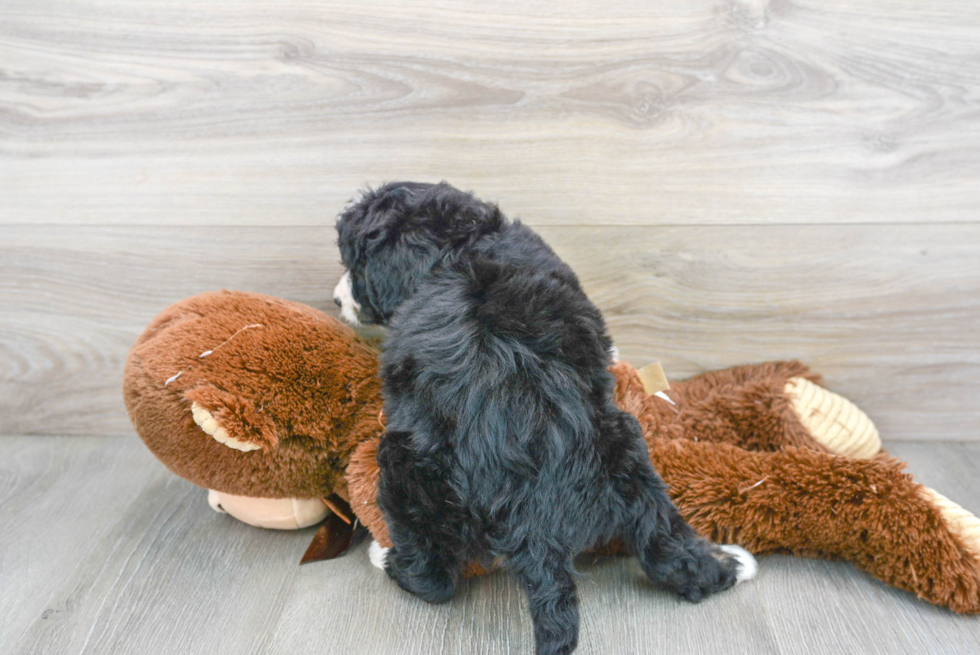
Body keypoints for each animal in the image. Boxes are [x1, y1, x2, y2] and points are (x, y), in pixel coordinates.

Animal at [334, 182, 756, 655]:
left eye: (354, 265)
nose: (335, 300)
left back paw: (386, 558)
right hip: (629, 453)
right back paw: (731, 564)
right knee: (666, 544)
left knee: (432, 578)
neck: (461, 246)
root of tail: (534, 513)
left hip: (407, 465)